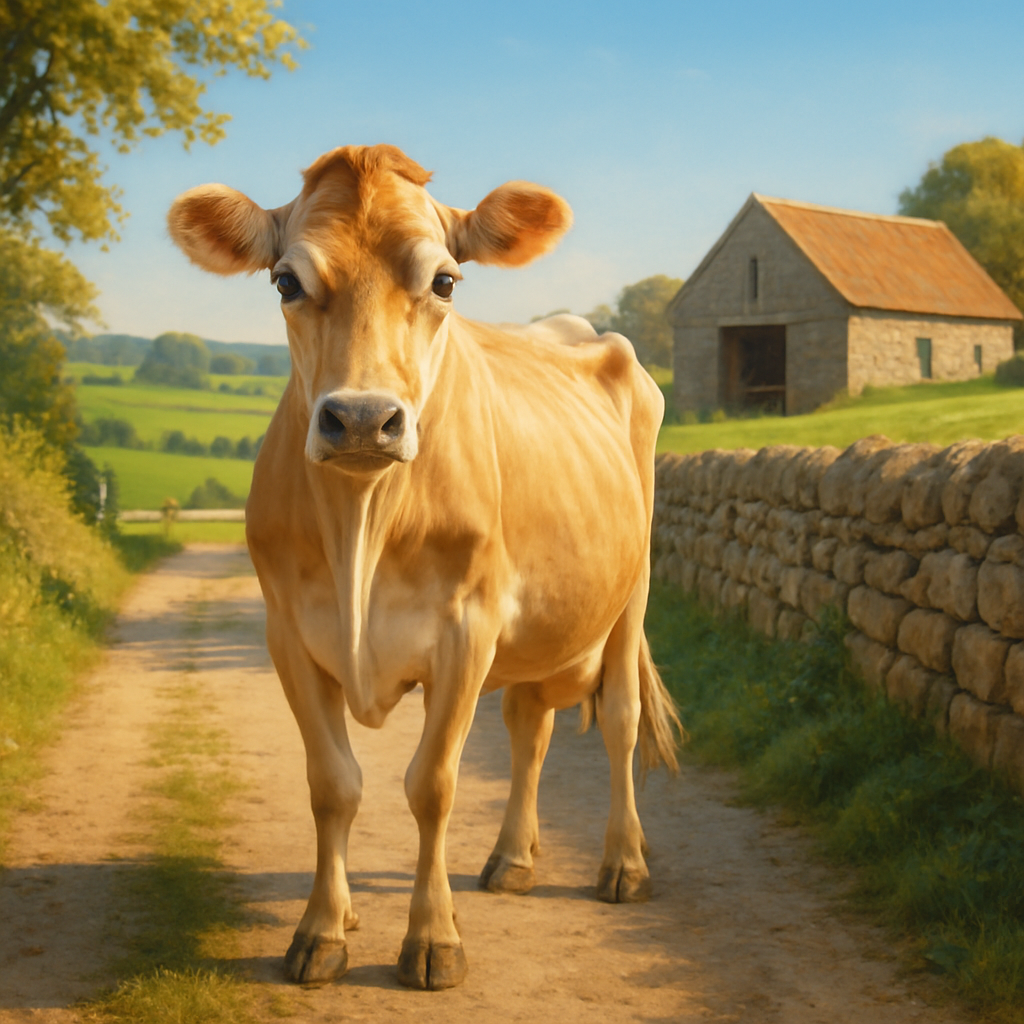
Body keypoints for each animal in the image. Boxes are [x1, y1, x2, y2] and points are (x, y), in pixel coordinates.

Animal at [167, 144, 681, 991]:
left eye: (444, 281)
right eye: (286, 282)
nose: (361, 418)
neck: (361, 528)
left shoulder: (466, 630)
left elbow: (431, 786)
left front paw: (433, 940)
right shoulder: (288, 633)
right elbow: (333, 784)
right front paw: (325, 928)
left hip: (631, 593)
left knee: (619, 718)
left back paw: (624, 865)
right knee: (529, 724)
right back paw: (513, 858)